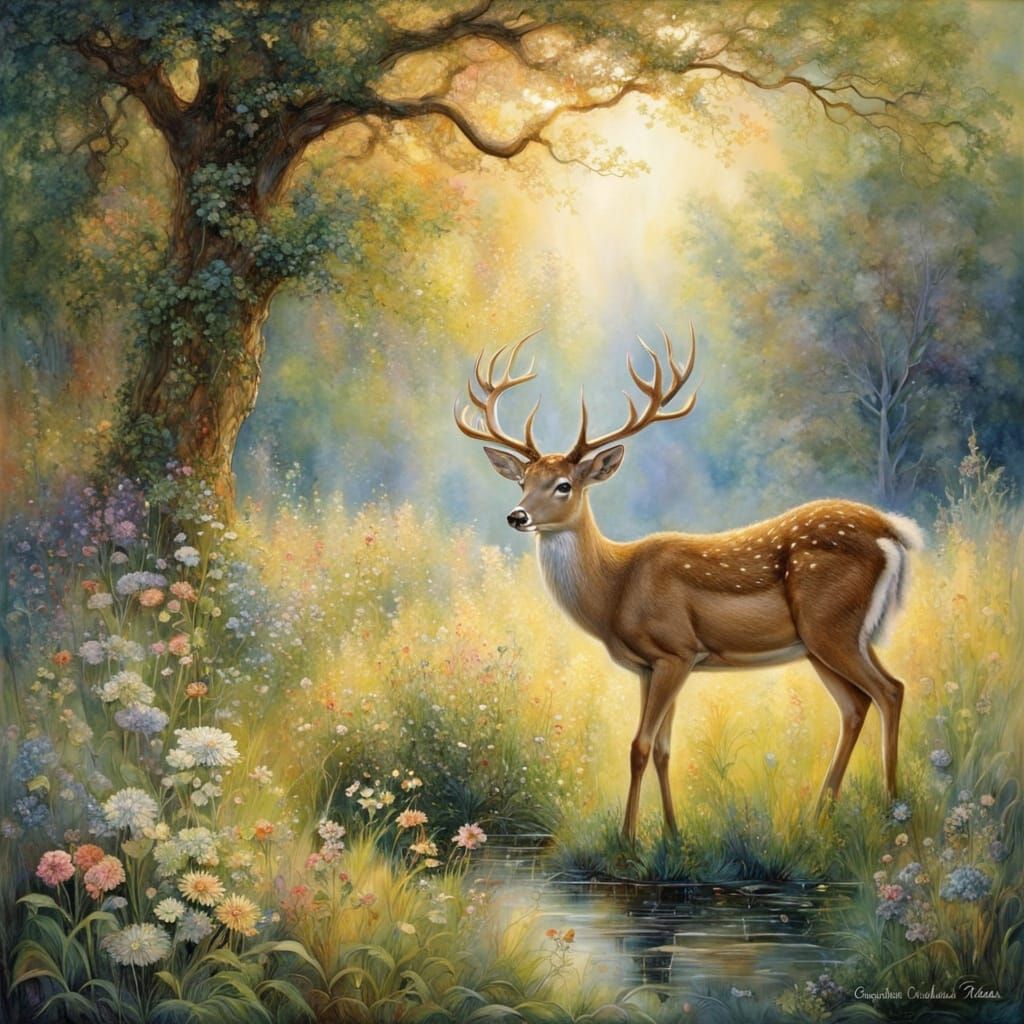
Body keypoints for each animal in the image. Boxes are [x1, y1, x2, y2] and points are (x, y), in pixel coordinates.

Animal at [454, 328, 924, 843]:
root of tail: (893, 530)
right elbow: (662, 749)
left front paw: (628, 839)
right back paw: (821, 812)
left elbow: (639, 746)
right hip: (828, 641)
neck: (615, 589)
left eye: (563, 485)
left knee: (890, 690)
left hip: (831, 627)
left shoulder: (675, 650)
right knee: (856, 705)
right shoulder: (651, 665)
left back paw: (893, 806)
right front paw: (673, 835)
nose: (516, 516)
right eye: (521, 480)